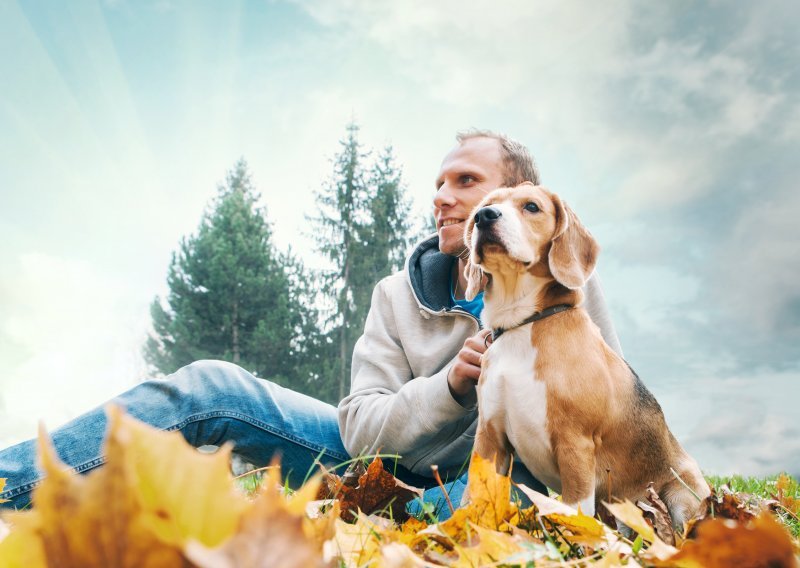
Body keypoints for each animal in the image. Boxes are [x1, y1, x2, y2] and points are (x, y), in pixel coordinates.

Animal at [460, 184, 708, 532]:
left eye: (531, 206)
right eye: (487, 204)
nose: (483, 217)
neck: (523, 323)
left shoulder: (575, 443)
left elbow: (574, 512)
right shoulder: (489, 439)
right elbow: (474, 501)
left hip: (683, 497)